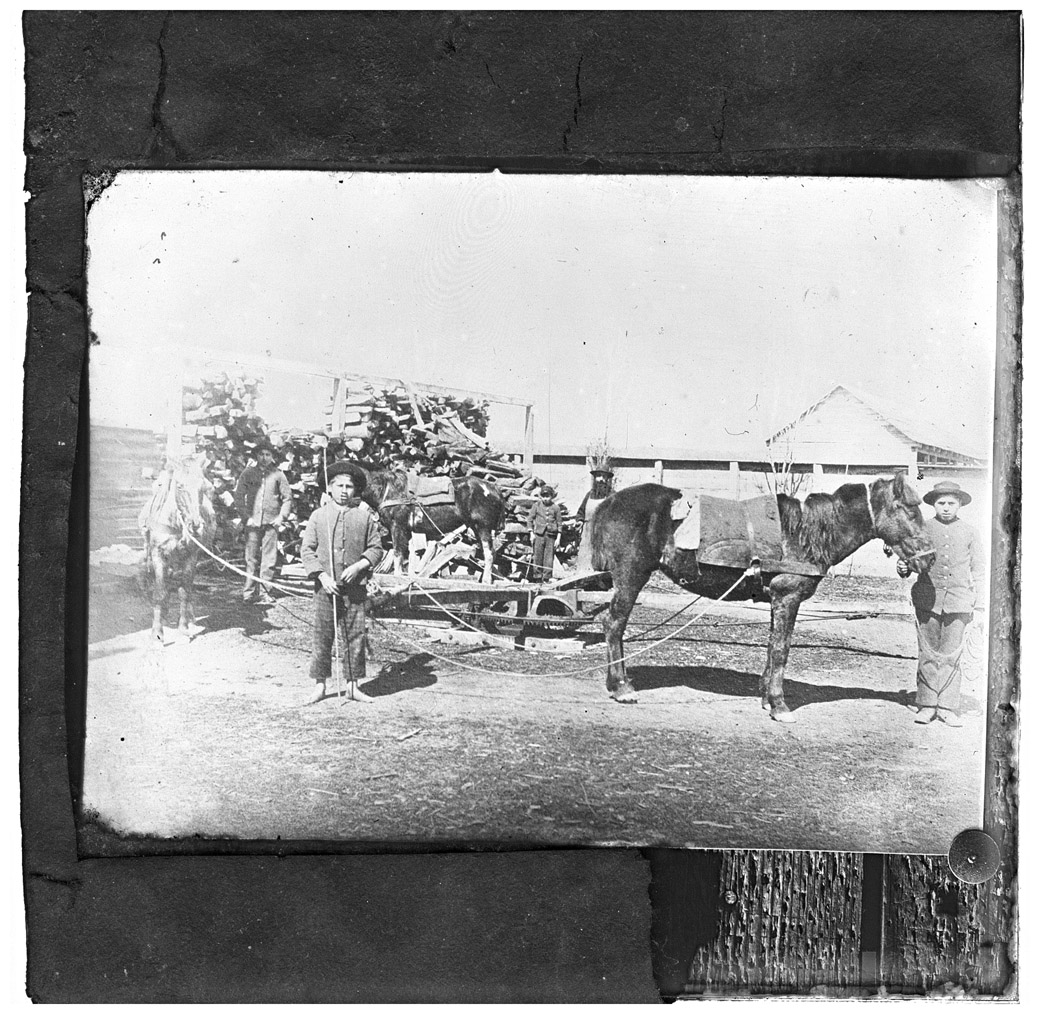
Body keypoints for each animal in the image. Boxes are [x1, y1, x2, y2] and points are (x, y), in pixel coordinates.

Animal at [138, 452, 217, 643]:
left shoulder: (190, 557)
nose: (196, 526)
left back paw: (191, 618)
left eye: (203, 487)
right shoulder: (158, 555)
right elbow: (160, 592)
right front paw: (157, 633)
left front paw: (184, 628)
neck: (175, 523)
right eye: (180, 486)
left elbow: (184, 591)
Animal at [363, 468, 506, 583]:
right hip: (477, 528)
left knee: (489, 554)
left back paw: (486, 580)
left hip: (483, 527)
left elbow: (397, 554)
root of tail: (495, 489)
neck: (386, 489)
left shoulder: (397, 527)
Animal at [590, 473, 935, 721]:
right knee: (614, 624)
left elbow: (772, 648)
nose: (929, 558)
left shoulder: (777, 601)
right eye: (908, 510)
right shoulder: (787, 598)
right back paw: (622, 687)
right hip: (631, 575)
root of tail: (610, 501)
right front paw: (780, 706)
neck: (805, 533)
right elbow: (781, 650)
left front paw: (767, 698)